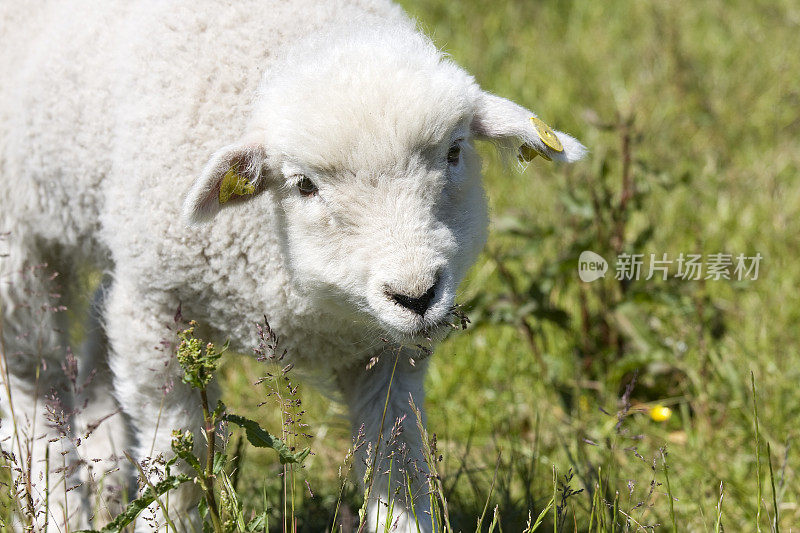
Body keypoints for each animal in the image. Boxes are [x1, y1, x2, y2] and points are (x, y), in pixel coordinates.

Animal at [1, 0, 588, 528]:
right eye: (303, 184)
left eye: (454, 152)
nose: (416, 294)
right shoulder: (154, 306)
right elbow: (180, 462)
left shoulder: (389, 353)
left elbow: (397, 460)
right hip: (19, 249)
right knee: (37, 387)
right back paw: (58, 509)